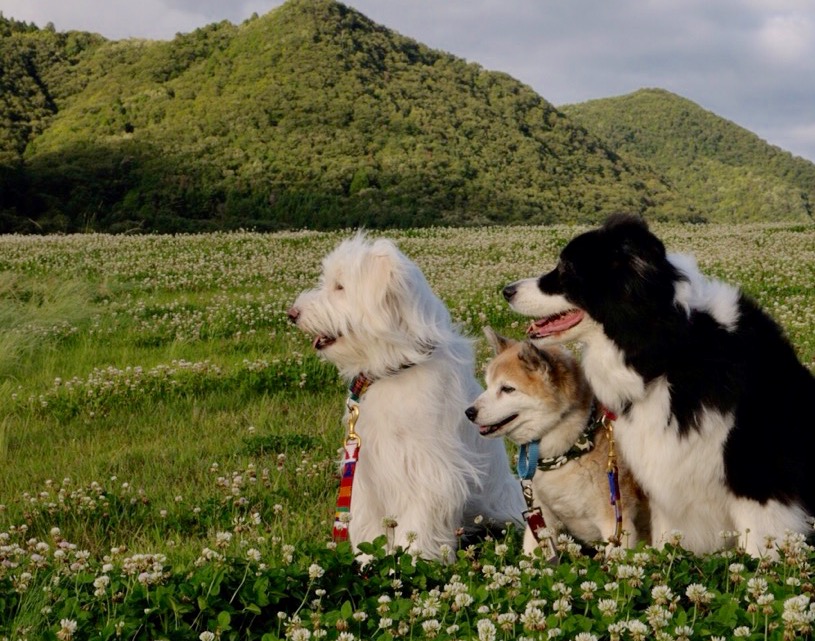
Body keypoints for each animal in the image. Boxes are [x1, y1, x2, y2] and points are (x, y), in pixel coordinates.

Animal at [290, 232, 524, 556]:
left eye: (340, 287)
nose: (292, 314)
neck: (395, 367)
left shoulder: (428, 470)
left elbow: (418, 524)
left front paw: (413, 557)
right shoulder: (368, 469)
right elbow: (369, 524)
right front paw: (367, 558)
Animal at [468, 328, 648, 552]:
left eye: (507, 389)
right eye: (488, 385)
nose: (469, 412)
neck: (572, 448)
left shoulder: (617, 525)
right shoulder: (540, 519)